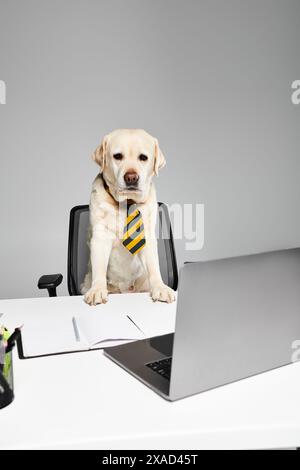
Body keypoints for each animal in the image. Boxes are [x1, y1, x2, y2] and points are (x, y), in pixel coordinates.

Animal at [82, 129, 176, 304]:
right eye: (118, 156)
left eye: (143, 157)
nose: (131, 177)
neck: (126, 202)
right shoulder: (100, 236)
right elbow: (99, 268)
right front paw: (97, 289)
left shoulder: (147, 235)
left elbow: (154, 266)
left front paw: (160, 287)